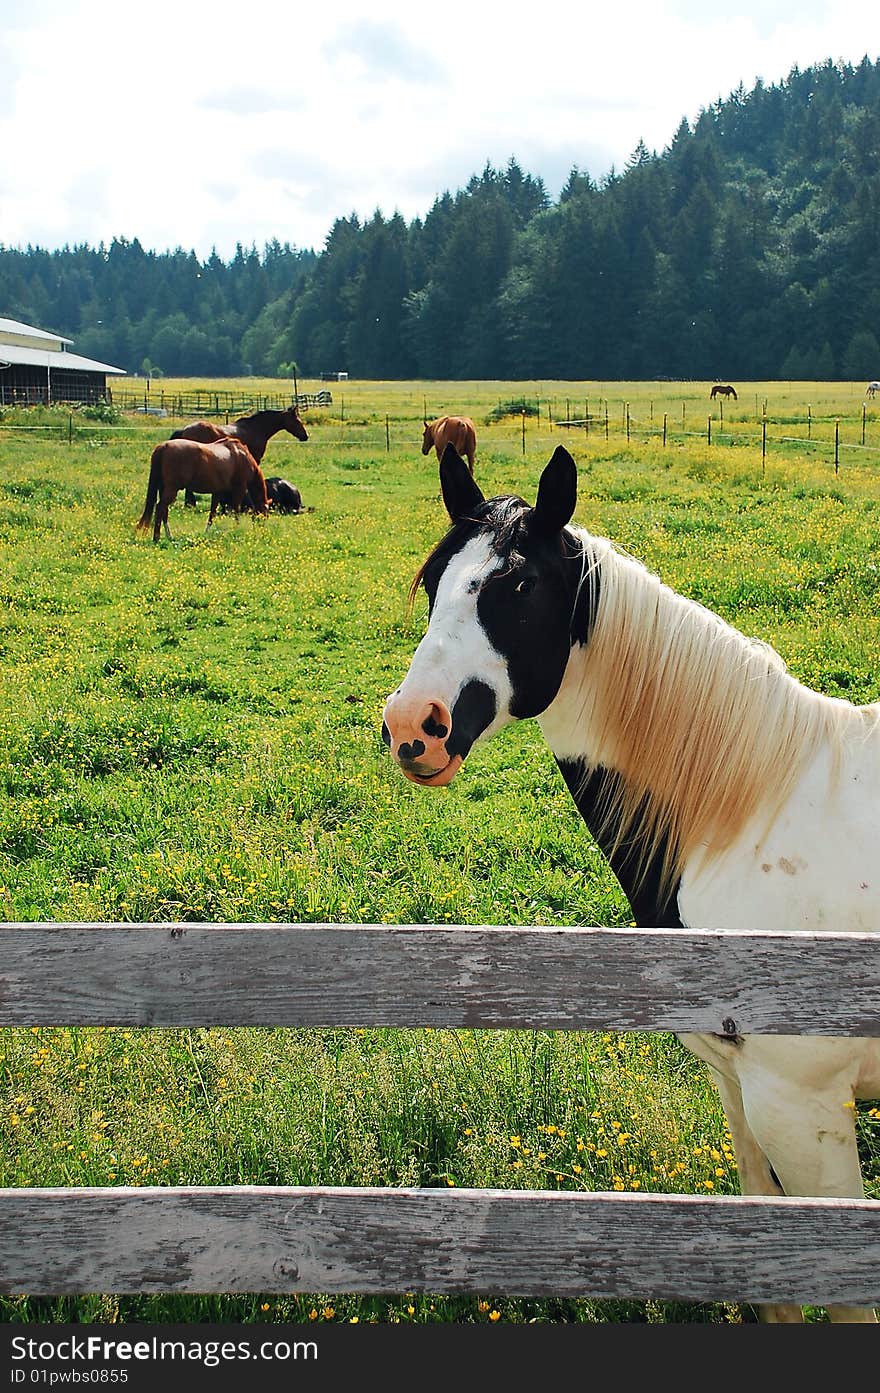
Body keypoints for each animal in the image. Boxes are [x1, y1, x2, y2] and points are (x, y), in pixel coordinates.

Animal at [135, 434, 268, 543]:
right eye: (265, 515)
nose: (262, 531)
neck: (241, 455)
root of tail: (163, 447)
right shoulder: (239, 489)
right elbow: (236, 510)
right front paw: (237, 528)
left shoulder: (217, 492)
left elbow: (212, 514)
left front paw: (207, 532)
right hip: (171, 490)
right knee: (160, 508)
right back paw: (157, 538)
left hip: (164, 489)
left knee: (164, 511)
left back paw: (168, 536)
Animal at [384, 440, 880, 1320]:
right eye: (436, 578)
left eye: (517, 587)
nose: (413, 726)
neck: (751, 812)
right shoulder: (741, 1089)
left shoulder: (805, 1104)